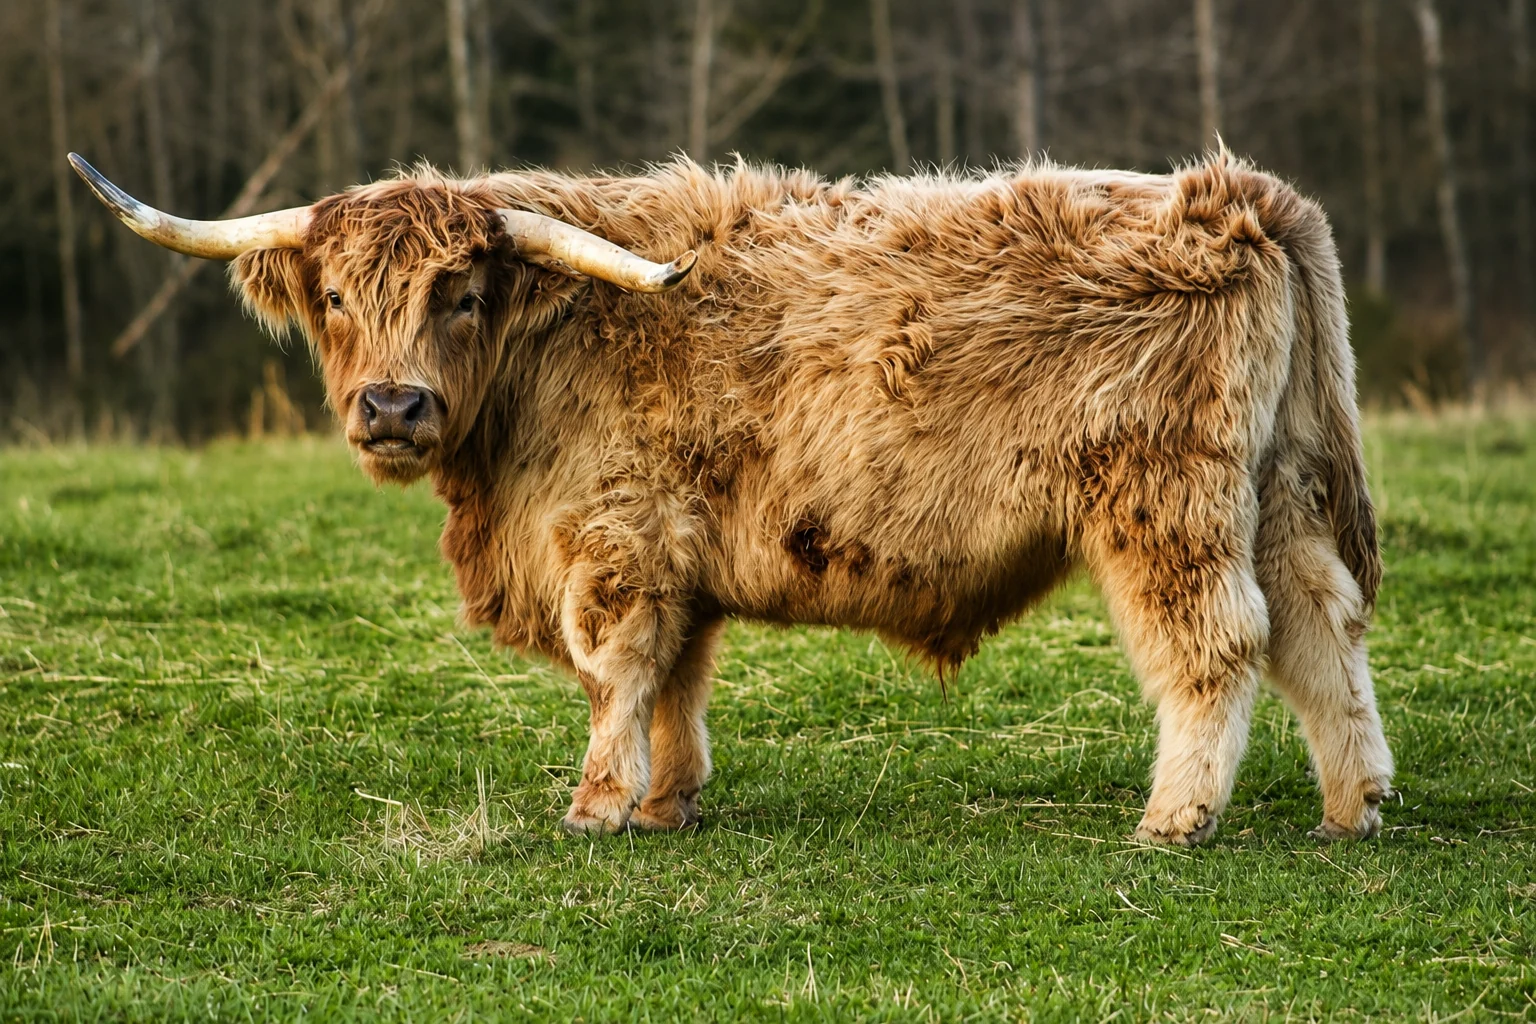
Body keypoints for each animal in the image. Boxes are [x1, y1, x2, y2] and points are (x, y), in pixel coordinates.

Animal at [71, 150, 1394, 846]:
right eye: (339, 296)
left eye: (461, 290)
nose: (392, 407)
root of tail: (1234, 193)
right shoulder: (675, 552)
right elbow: (678, 678)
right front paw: (671, 801)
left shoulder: (614, 537)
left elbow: (615, 667)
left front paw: (599, 805)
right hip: (1275, 491)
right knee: (1321, 628)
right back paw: (1354, 804)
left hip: (1164, 505)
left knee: (1217, 644)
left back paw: (1177, 817)